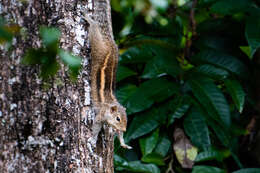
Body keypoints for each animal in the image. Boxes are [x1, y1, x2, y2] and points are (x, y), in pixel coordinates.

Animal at [84, 13, 132, 149]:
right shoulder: (101, 115)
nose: (125, 129)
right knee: (94, 29)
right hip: (96, 43)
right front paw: (93, 138)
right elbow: (96, 126)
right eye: (118, 119)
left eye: (126, 119)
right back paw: (89, 19)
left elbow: (118, 133)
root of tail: (109, 42)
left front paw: (124, 143)